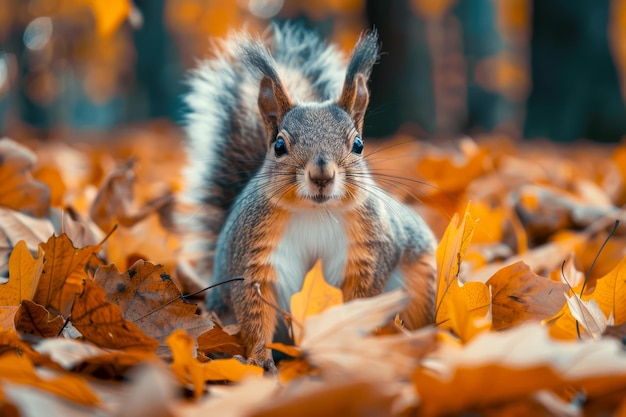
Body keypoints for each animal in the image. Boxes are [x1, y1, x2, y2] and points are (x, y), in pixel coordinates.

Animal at [179, 23, 434, 368]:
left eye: (358, 144)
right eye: (279, 146)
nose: (322, 175)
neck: (317, 212)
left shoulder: (371, 250)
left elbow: (359, 303)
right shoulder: (253, 256)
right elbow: (255, 312)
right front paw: (259, 360)